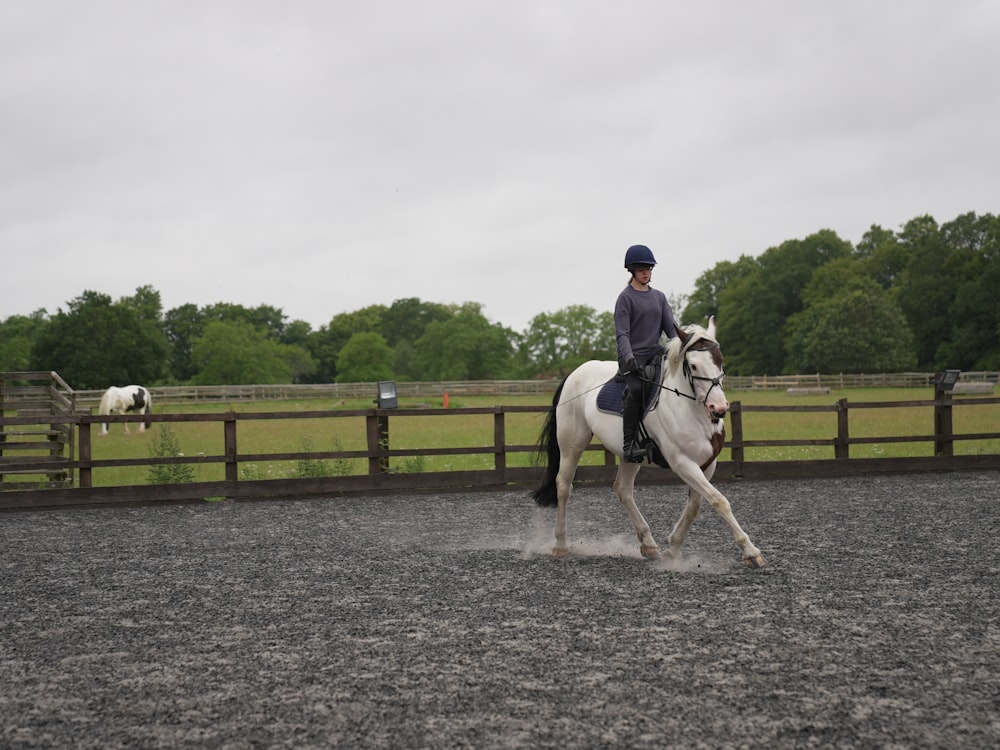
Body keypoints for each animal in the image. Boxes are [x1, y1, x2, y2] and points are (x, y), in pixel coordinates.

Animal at [532, 318, 764, 568]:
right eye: (693, 366)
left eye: (720, 361)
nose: (718, 408)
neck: (691, 409)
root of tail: (575, 373)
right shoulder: (682, 463)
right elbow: (719, 501)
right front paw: (751, 552)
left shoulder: (707, 464)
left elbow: (695, 506)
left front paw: (673, 548)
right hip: (572, 445)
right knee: (564, 486)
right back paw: (560, 545)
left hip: (630, 455)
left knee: (623, 489)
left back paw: (648, 544)